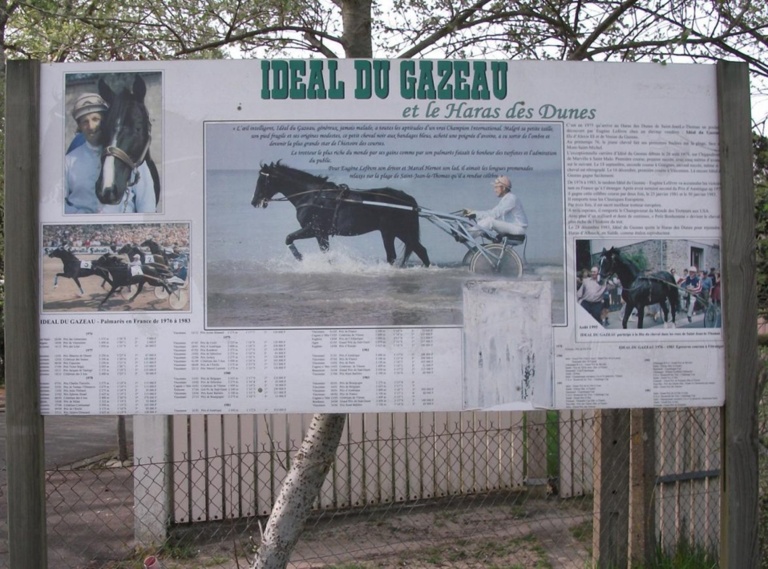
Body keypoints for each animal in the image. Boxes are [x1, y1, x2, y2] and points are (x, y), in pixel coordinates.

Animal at [252, 160, 432, 266]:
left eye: (262, 180)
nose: (254, 201)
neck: (312, 196)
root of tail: (407, 200)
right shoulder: (321, 233)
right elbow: (325, 252)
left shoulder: (314, 229)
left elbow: (289, 237)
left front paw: (300, 258)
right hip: (399, 232)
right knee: (420, 250)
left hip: (390, 231)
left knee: (394, 255)